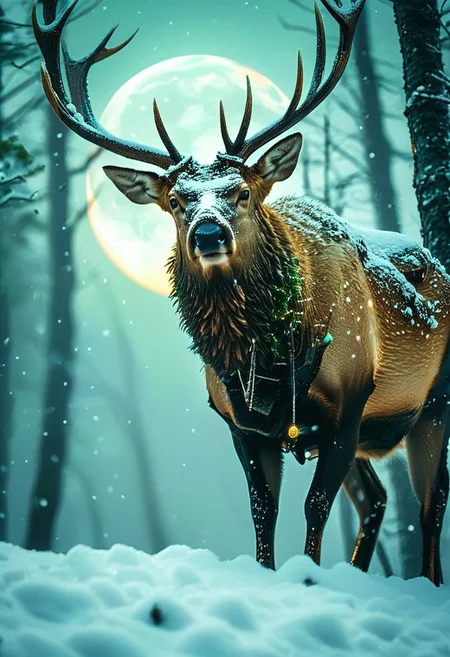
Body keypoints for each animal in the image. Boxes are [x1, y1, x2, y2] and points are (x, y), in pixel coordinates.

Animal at [33, 0, 450, 585]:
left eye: (242, 192)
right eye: (177, 201)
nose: (208, 234)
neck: (269, 354)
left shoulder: (348, 402)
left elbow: (314, 506)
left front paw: (308, 576)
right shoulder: (240, 423)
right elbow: (262, 510)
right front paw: (271, 573)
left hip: (433, 406)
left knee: (431, 509)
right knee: (376, 500)